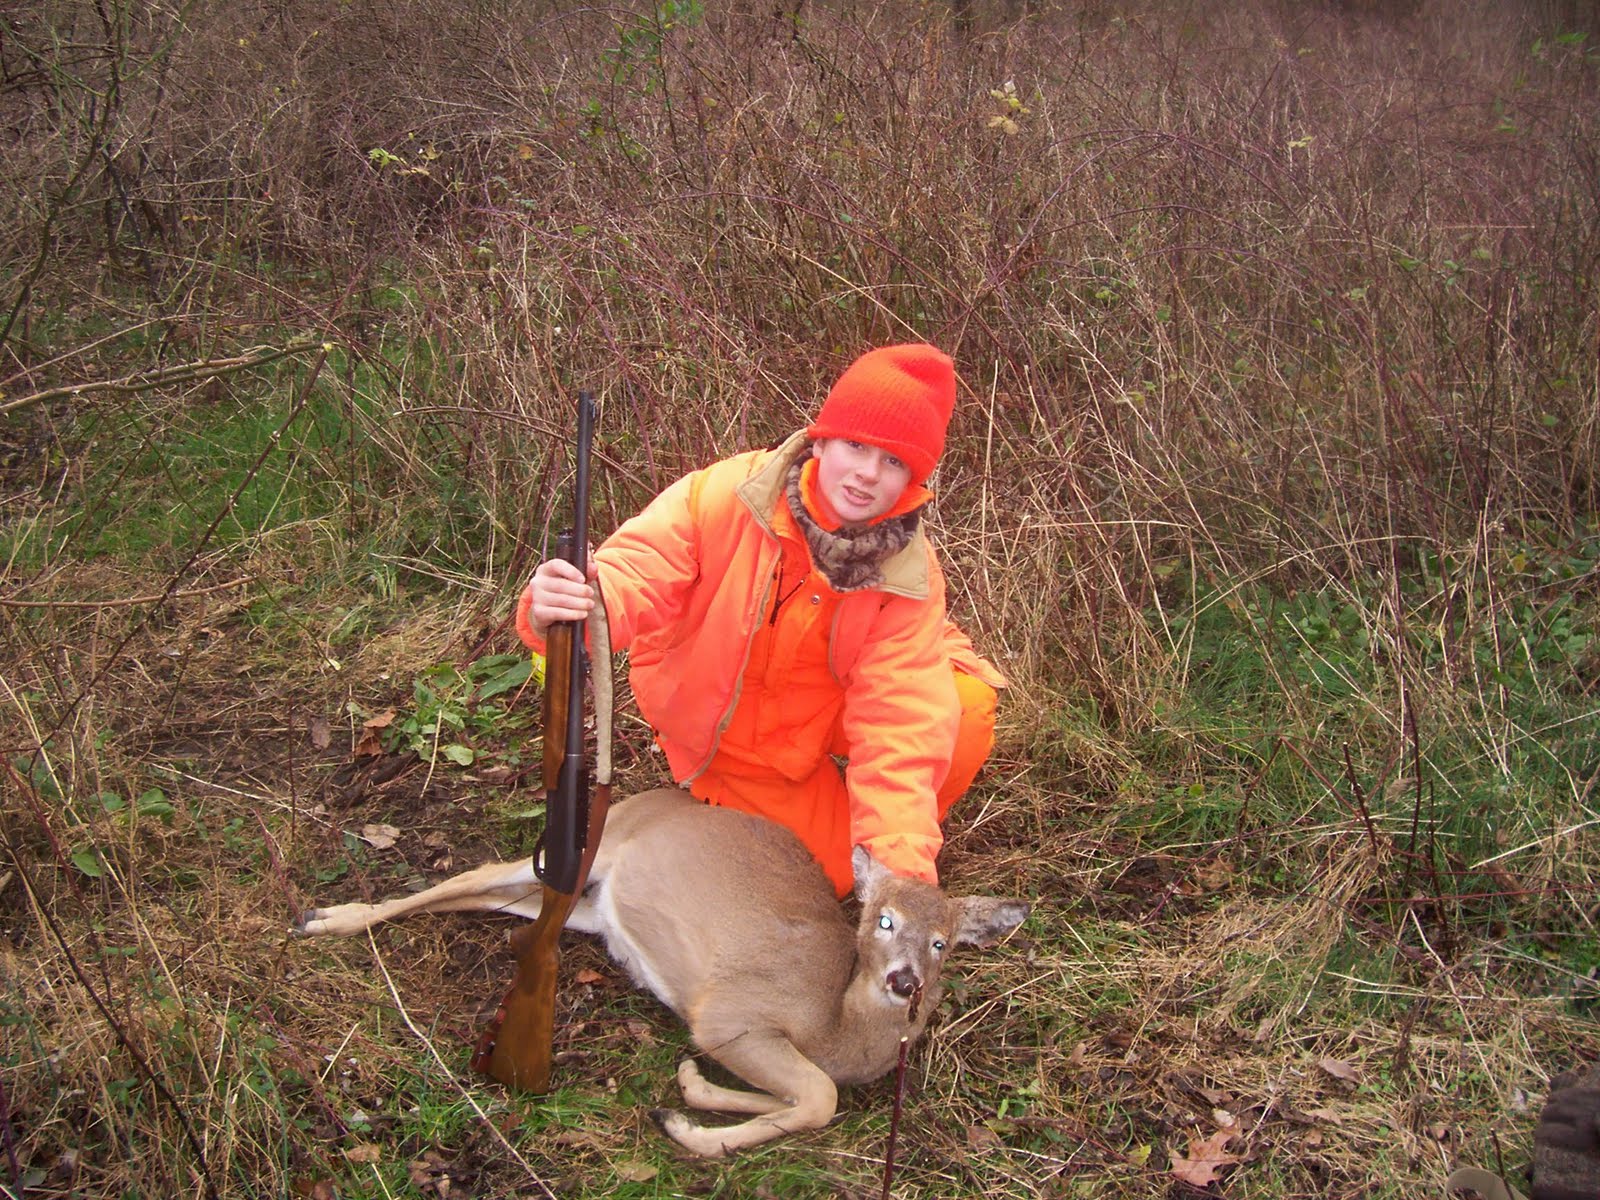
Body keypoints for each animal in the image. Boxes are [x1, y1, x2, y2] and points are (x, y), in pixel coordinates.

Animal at [296, 786, 1030, 1157]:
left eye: (943, 942)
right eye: (882, 919)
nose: (903, 981)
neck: (837, 1026)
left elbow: (804, 1098)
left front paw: (687, 1092)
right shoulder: (732, 1015)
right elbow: (819, 1098)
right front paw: (687, 1129)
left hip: (590, 906)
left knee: (494, 896)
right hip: (600, 847)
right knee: (476, 873)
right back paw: (324, 919)